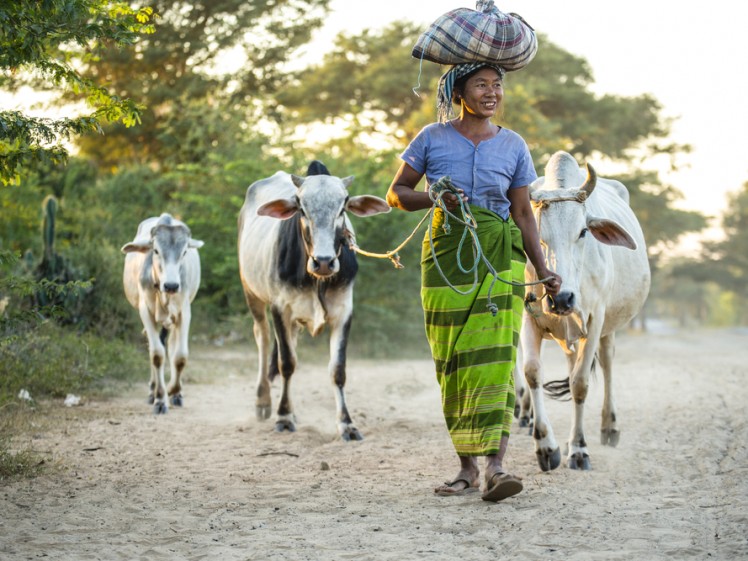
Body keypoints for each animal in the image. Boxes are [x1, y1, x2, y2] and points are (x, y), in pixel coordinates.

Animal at [122, 212, 205, 414]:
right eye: (156, 251)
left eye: (184, 252)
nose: (171, 285)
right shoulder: (145, 311)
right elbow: (157, 354)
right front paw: (159, 399)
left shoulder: (184, 311)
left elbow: (180, 356)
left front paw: (174, 391)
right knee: (153, 346)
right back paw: (152, 390)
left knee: (172, 345)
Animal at [238, 160, 392, 440]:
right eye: (301, 207)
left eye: (343, 207)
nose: (323, 262)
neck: (317, 279)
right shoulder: (280, 308)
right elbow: (286, 363)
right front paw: (284, 417)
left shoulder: (343, 311)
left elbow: (337, 370)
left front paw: (347, 424)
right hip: (252, 293)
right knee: (263, 340)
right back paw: (264, 402)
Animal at [520, 151, 648, 470]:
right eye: (537, 236)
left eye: (583, 232)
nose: (562, 299)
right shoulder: (528, 316)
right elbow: (532, 372)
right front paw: (546, 447)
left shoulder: (595, 318)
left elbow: (580, 384)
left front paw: (579, 449)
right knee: (570, 362)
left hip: (608, 327)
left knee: (607, 362)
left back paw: (609, 427)